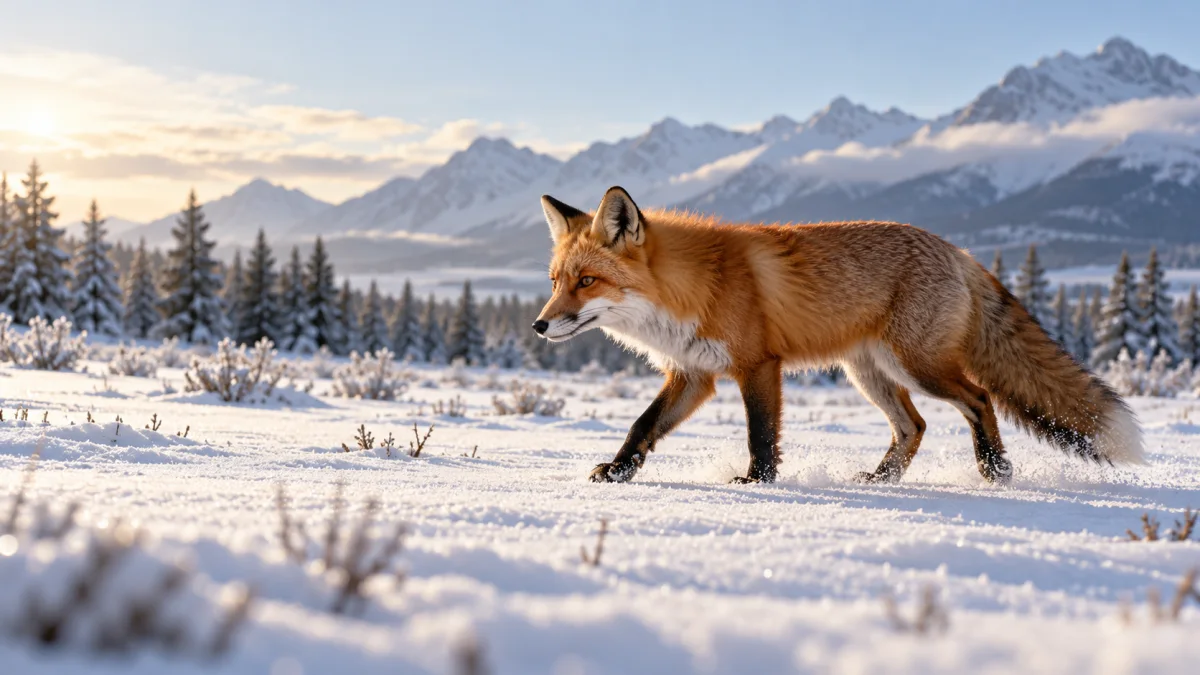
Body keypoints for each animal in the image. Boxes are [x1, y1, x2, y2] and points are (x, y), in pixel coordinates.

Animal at [532, 186, 1144, 485]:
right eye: (556, 281)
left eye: (587, 282)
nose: (538, 324)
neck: (692, 288)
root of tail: (958, 250)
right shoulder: (693, 374)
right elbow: (641, 426)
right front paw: (617, 471)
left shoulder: (757, 365)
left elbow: (760, 434)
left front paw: (757, 482)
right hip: (869, 373)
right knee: (914, 426)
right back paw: (880, 479)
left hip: (918, 366)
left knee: (978, 398)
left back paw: (995, 469)